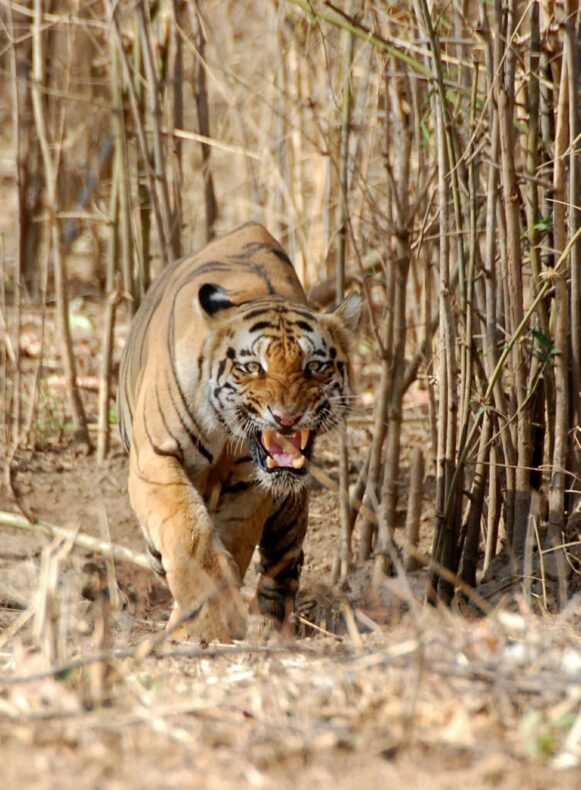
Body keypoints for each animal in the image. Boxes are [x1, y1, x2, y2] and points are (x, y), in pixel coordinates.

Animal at [118, 222, 360, 641]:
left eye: (315, 366)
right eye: (253, 367)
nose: (287, 417)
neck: (223, 431)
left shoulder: (250, 484)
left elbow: (231, 545)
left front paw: (214, 621)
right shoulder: (156, 457)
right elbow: (189, 538)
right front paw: (208, 624)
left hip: (289, 509)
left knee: (284, 562)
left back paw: (273, 625)